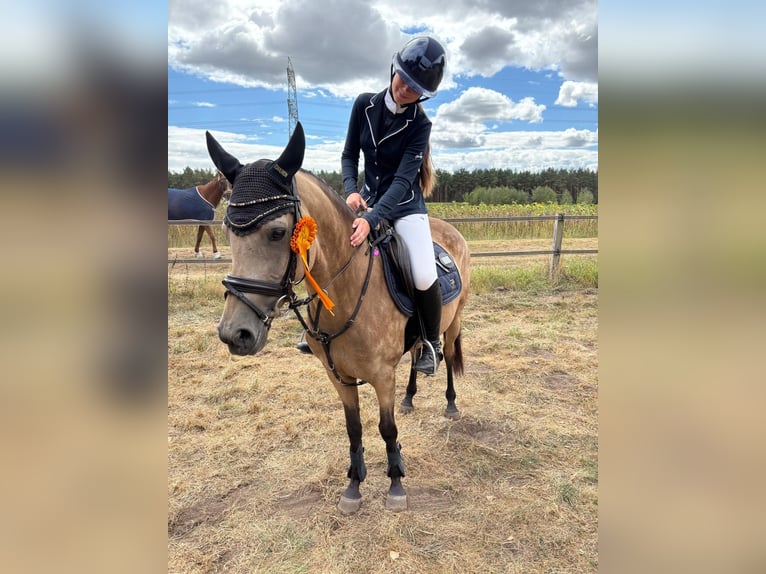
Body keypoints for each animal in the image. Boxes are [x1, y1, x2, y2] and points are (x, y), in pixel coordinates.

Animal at [207, 123, 470, 514]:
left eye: (278, 232)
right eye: (227, 232)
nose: (234, 334)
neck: (347, 291)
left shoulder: (381, 376)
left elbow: (386, 429)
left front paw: (395, 483)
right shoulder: (338, 376)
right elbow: (355, 428)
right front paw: (354, 485)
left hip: (452, 323)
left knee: (448, 354)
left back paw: (450, 404)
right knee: (415, 355)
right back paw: (410, 397)